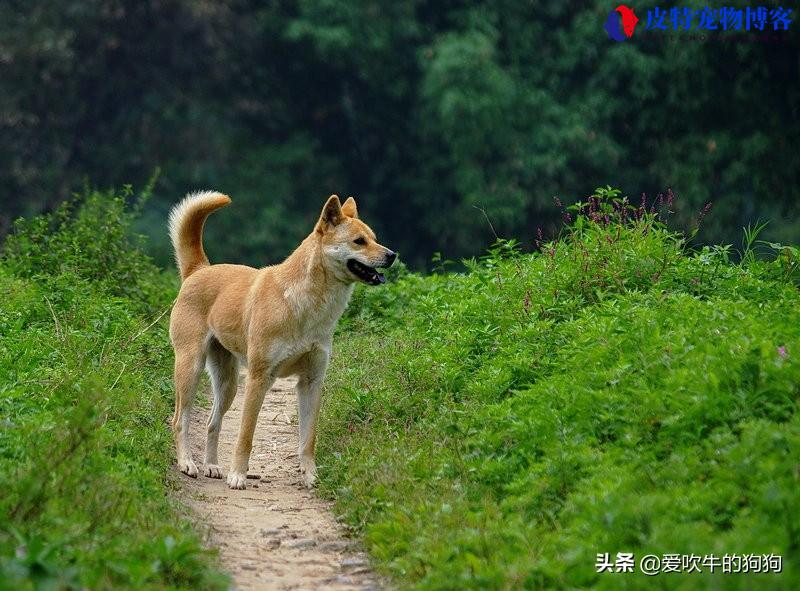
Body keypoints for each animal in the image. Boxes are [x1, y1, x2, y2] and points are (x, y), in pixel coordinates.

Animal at [168, 192, 394, 488]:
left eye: (375, 238)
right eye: (359, 241)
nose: (392, 255)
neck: (305, 305)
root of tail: (198, 270)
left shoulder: (311, 382)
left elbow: (308, 439)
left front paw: (310, 476)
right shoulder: (259, 378)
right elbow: (245, 436)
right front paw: (238, 475)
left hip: (228, 384)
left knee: (211, 423)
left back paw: (213, 466)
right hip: (190, 369)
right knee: (179, 420)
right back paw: (187, 463)